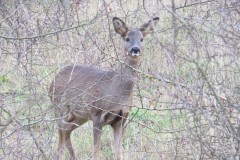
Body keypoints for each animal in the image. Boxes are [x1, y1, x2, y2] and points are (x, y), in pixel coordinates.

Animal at [47, 16, 158, 160]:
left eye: (142, 39)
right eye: (127, 38)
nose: (135, 49)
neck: (116, 91)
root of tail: (52, 81)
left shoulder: (121, 120)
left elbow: (119, 153)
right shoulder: (97, 115)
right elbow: (96, 153)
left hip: (79, 116)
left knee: (66, 132)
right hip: (60, 109)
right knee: (61, 134)